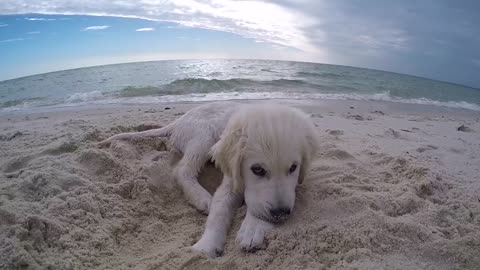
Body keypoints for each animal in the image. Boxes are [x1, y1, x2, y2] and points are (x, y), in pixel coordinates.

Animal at [99, 101, 316, 258]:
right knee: (182, 170)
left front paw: (253, 228)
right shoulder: (231, 179)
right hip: (203, 135)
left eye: (293, 168)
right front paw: (205, 246)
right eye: (257, 169)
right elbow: (219, 211)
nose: (281, 213)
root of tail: (178, 120)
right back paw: (202, 198)